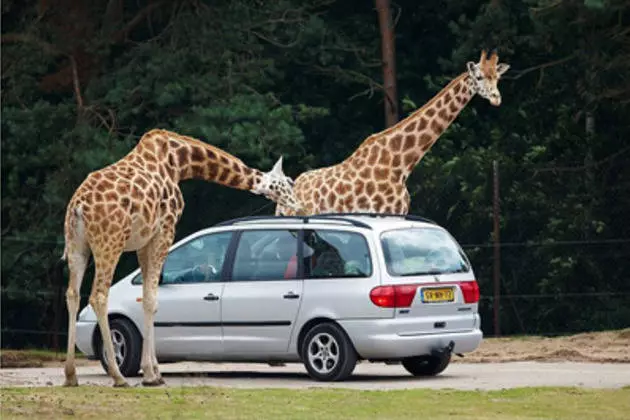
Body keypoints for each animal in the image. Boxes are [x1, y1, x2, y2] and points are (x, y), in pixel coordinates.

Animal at [61, 129, 304, 388]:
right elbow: (152, 300)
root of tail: (78, 207)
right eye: (288, 183)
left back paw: (71, 375)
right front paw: (151, 375)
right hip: (109, 242)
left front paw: (154, 372)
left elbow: (146, 298)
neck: (179, 162)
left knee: (73, 294)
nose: (299, 207)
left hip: (77, 246)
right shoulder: (165, 231)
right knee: (98, 295)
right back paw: (118, 377)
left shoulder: (145, 240)